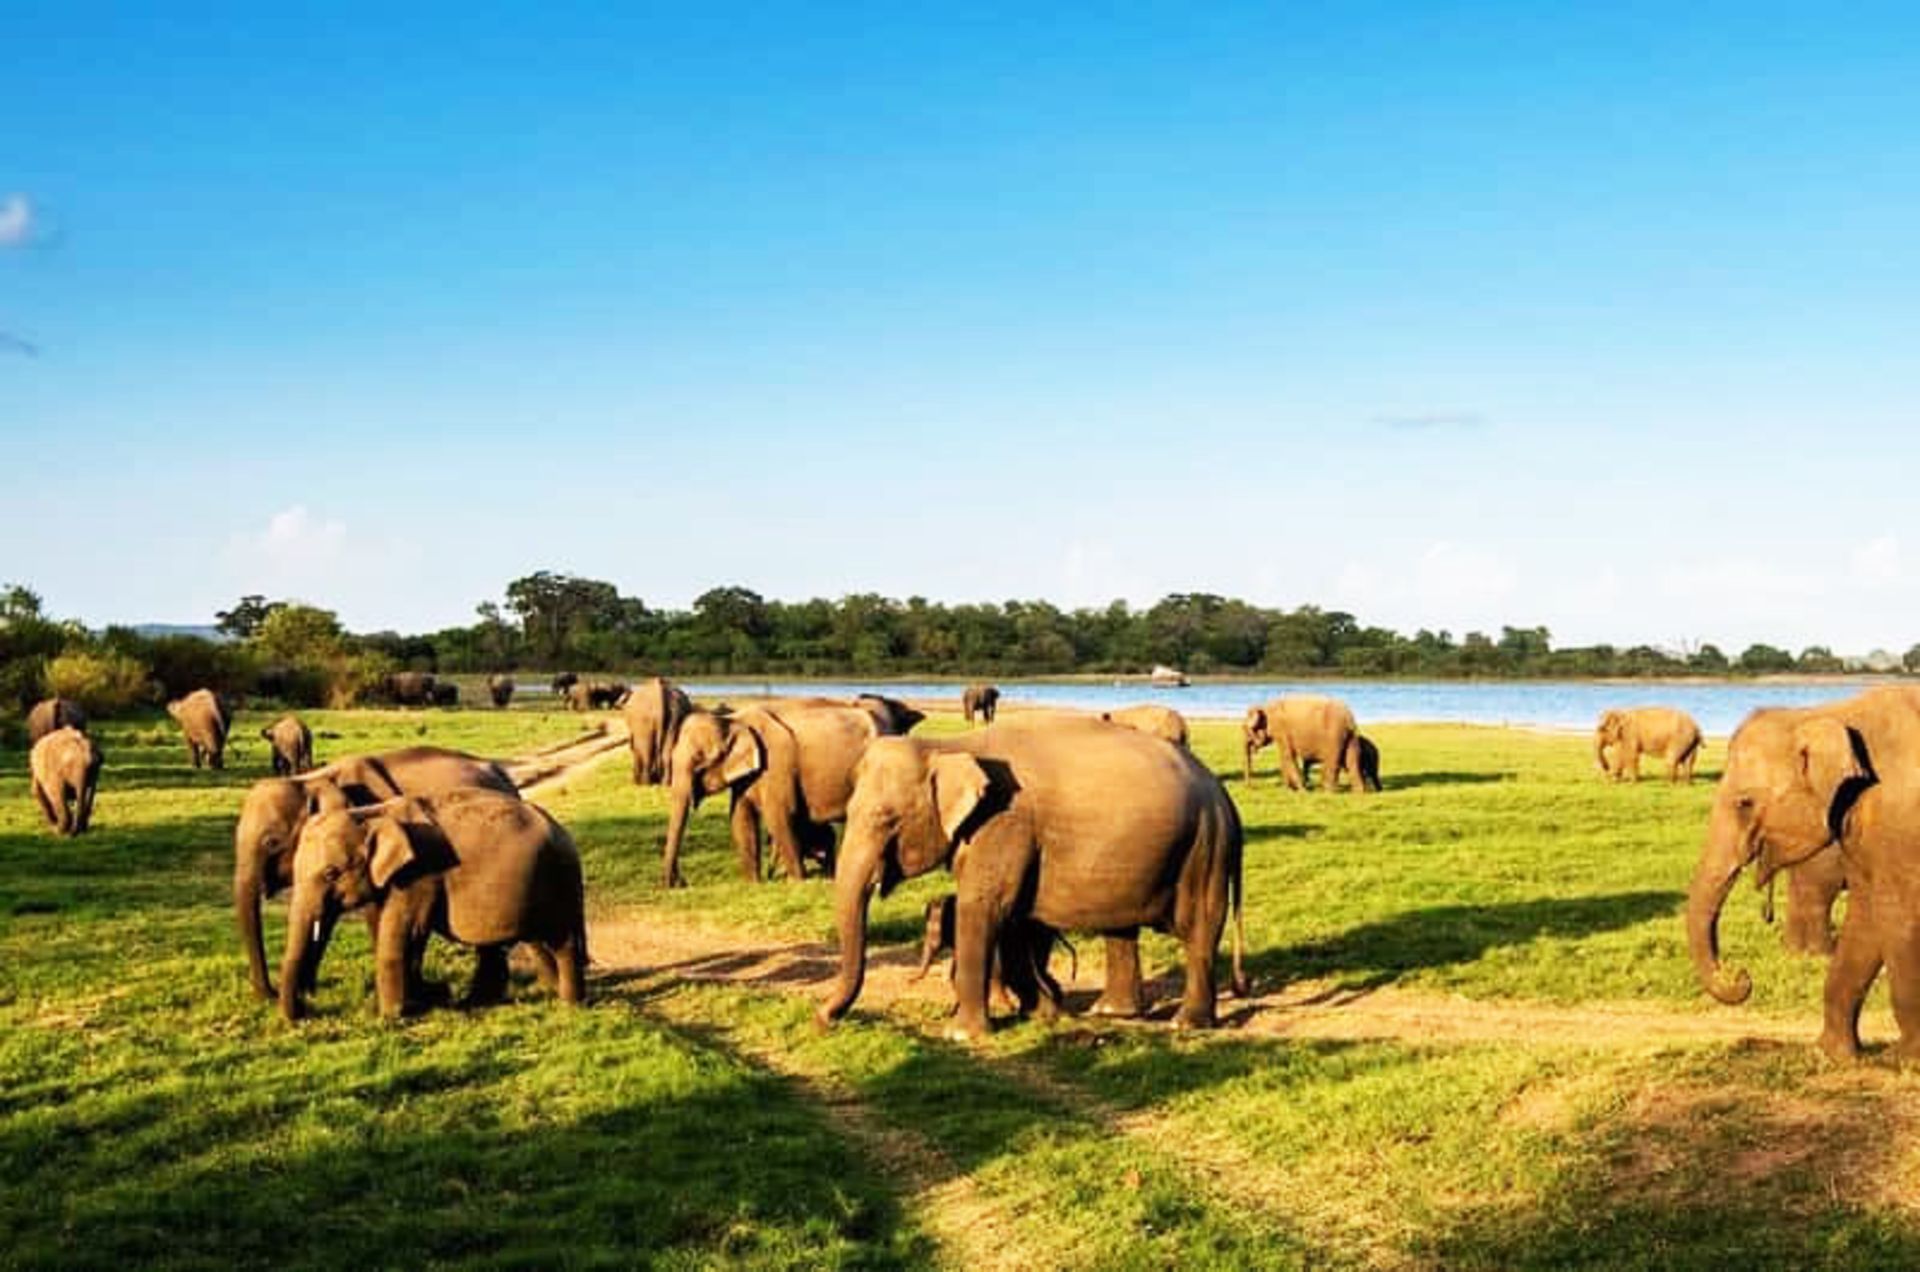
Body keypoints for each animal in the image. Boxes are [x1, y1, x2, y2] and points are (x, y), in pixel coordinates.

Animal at [232, 746, 521, 1000]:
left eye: (271, 842)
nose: (269, 994)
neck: (312, 779)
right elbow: (325, 916)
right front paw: (308, 992)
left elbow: (375, 911)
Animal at [277, 788, 587, 1022]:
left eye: (331, 873)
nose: (305, 1012)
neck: (373, 814)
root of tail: (564, 833)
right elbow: (396, 933)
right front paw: (426, 998)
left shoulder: (420, 874)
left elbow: (404, 934)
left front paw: (390, 1018)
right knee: (527, 939)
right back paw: (487, 1001)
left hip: (559, 881)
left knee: (561, 940)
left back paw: (569, 1005)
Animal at [660, 701, 907, 888]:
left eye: (699, 760)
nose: (680, 883)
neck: (733, 719)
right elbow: (740, 818)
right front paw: (753, 884)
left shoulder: (776, 762)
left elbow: (778, 815)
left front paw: (797, 882)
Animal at [818, 714, 1248, 1041]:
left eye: (886, 819)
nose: (823, 1019)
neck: (947, 745)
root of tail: (1224, 796)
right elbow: (1013, 917)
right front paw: (1042, 1013)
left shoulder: (1007, 824)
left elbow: (984, 906)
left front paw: (961, 1035)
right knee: (1121, 928)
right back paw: (1111, 1013)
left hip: (1204, 846)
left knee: (1199, 926)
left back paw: (1186, 1024)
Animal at [1686, 685, 1920, 1060]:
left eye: (1744, 803)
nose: (1742, 977)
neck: (1822, 713)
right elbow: (1866, 913)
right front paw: (1833, 1055)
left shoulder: (1901, 819)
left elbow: (1899, 916)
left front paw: (1903, 1060)